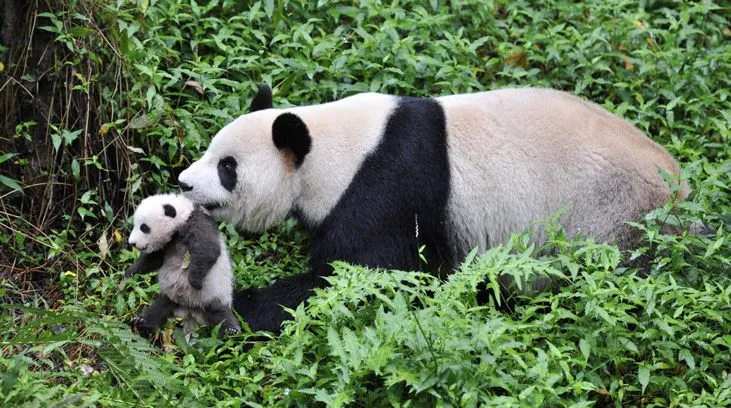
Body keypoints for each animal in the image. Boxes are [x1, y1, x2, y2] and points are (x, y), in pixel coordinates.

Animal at [177, 84, 688, 334]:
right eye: (210, 152)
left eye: (227, 167)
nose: (183, 183)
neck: (335, 148)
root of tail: (681, 192)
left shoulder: (389, 187)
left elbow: (366, 276)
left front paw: (229, 309)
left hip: (606, 221)